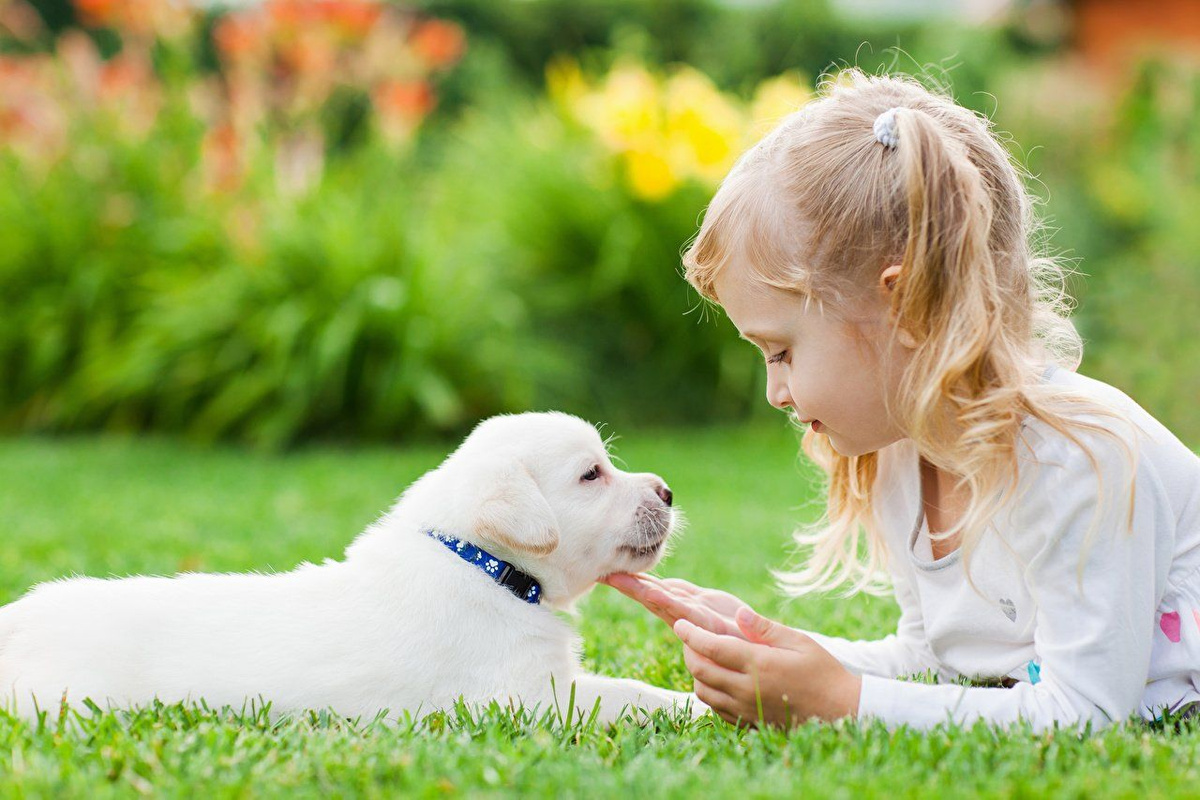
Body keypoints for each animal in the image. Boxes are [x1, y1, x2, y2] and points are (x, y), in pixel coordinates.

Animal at [0, 412, 700, 724]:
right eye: (591, 474)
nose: (668, 491)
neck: (482, 565)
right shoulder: (526, 697)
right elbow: (626, 695)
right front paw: (696, 707)